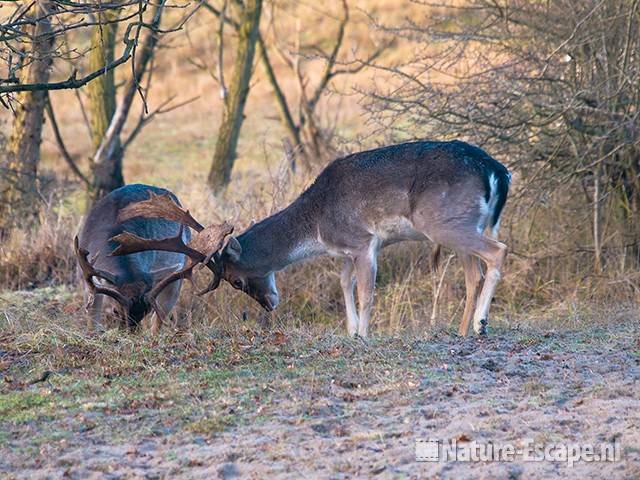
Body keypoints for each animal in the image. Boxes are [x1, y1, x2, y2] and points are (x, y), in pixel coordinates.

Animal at [74, 182, 232, 332]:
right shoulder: (86, 279)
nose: (131, 333)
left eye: (147, 310)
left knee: (159, 321)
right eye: (115, 311)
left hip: (177, 278)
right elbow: (92, 320)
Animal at [119, 141, 510, 338]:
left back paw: (481, 324)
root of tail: (497, 171)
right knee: (473, 273)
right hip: (463, 225)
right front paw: (351, 333)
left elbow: (366, 292)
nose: (270, 304)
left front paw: (364, 335)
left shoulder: (363, 241)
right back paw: (463, 330)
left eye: (236, 280)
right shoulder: (347, 251)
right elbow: (343, 283)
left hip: (443, 223)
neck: (319, 226)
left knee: (498, 252)